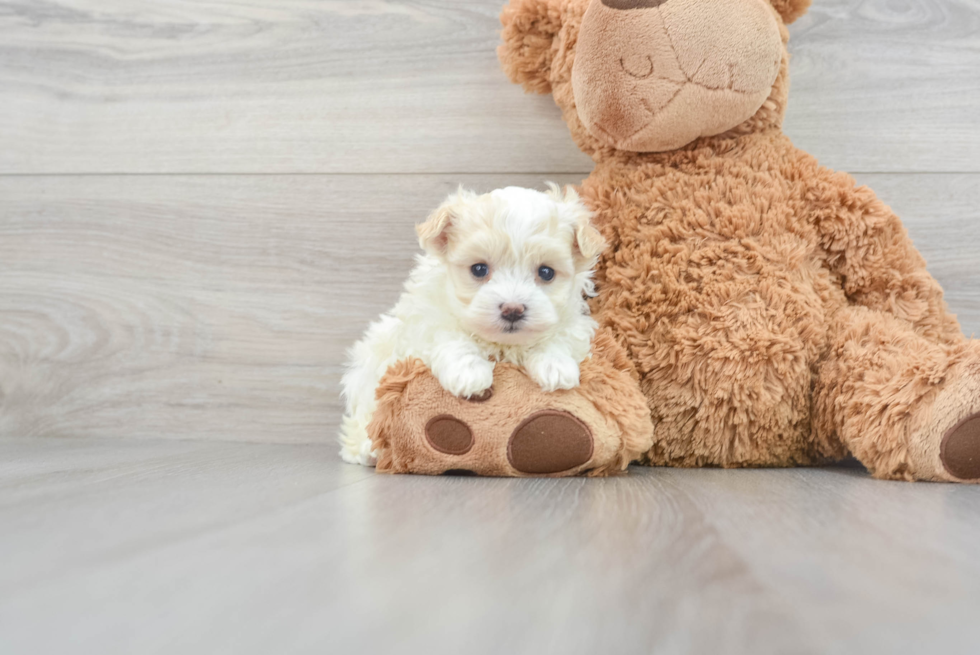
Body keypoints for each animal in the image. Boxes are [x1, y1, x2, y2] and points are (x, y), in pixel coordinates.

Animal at [340, 184, 608, 466]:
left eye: (546, 273)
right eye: (479, 269)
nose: (512, 309)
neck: (502, 345)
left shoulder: (574, 323)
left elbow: (559, 338)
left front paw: (555, 367)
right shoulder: (427, 320)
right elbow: (451, 336)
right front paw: (469, 373)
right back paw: (369, 449)